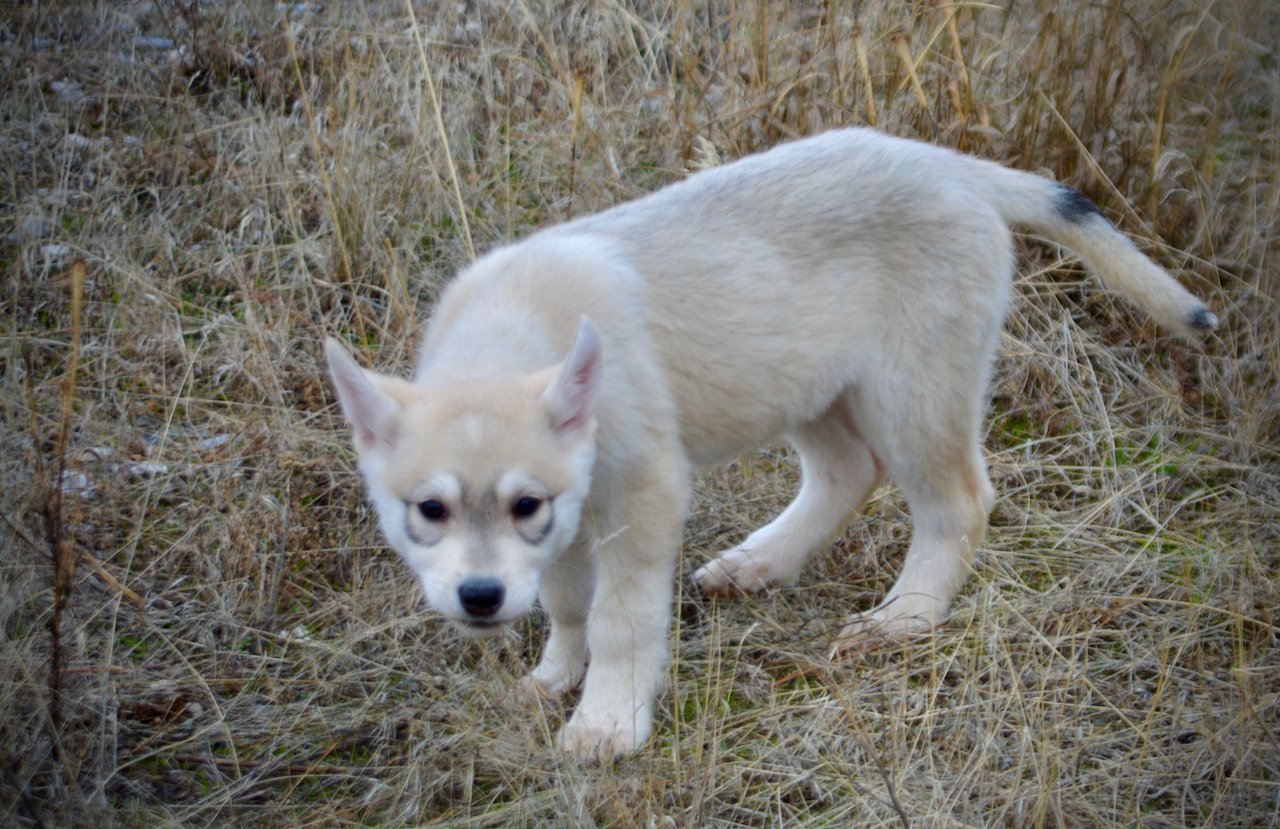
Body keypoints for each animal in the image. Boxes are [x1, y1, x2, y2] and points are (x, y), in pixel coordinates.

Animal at [325, 127, 1213, 757]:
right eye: (429, 510)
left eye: (522, 503)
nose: (478, 599)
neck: (516, 331)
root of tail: (953, 167)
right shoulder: (579, 511)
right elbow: (568, 605)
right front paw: (551, 680)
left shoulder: (640, 492)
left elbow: (619, 617)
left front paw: (607, 723)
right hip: (807, 384)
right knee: (848, 472)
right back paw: (759, 564)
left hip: (912, 394)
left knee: (959, 500)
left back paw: (904, 617)